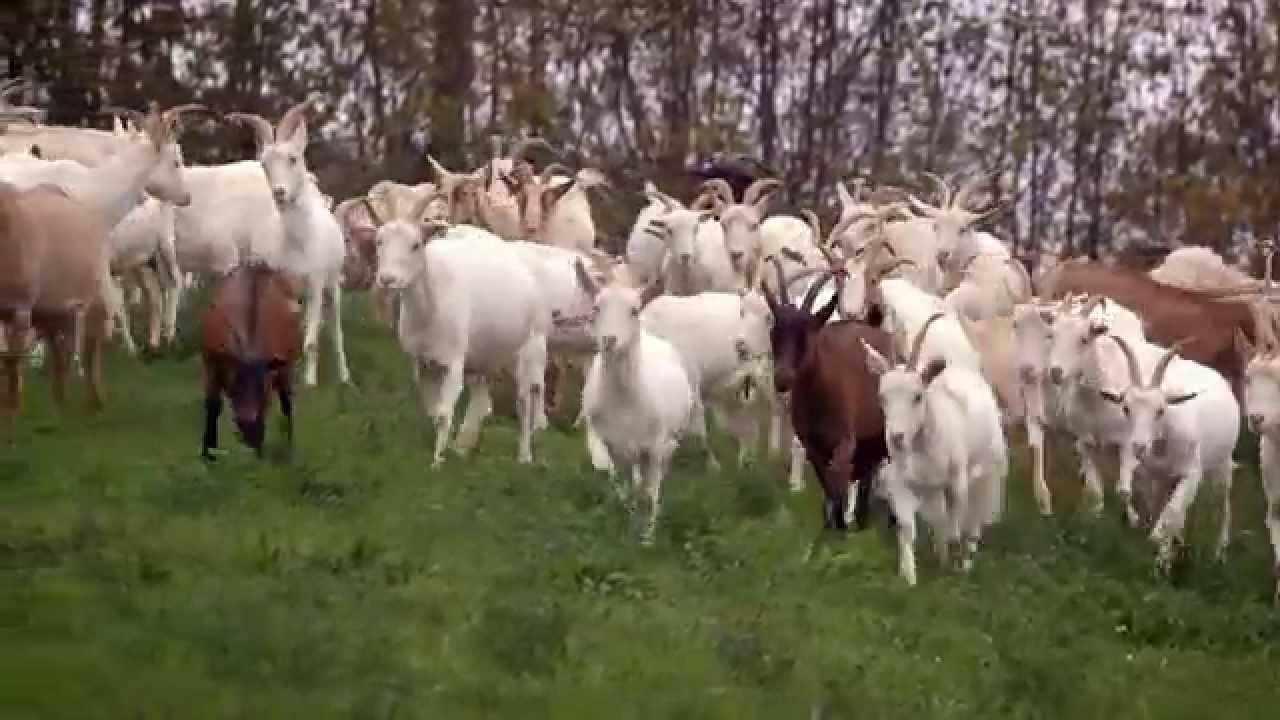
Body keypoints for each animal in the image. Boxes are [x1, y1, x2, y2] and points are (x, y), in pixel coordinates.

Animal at [199, 263, 302, 459]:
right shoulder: (211, 365)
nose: (246, 420)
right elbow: (212, 406)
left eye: (262, 386)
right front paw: (208, 454)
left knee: (286, 403)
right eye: (235, 384)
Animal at [575, 260, 695, 544]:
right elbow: (629, 490)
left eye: (634, 310)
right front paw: (629, 530)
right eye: (596, 308)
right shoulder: (613, 445)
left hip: (668, 441)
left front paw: (647, 539)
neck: (625, 403)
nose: (609, 340)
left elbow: (649, 496)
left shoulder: (654, 446)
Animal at [863, 313, 1008, 586]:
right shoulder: (903, 483)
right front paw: (909, 577)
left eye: (918, 396)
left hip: (987, 465)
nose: (896, 438)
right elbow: (907, 529)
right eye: (881, 398)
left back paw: (969, 553)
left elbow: (954, 530)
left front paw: (955, 566)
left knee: (975, 512)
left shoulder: (957, 481)